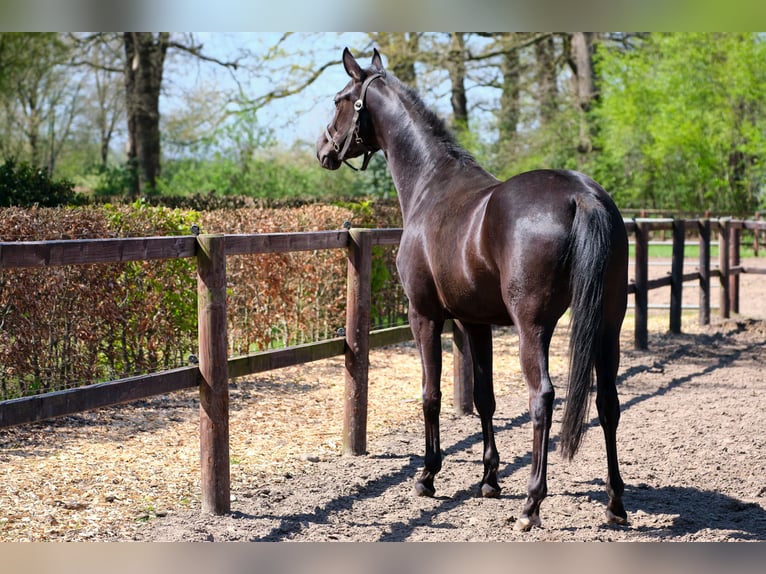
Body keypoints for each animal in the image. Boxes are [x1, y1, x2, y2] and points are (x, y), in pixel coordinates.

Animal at [318, 48, 632, 532]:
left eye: (340, 99)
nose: (324, 150)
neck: (431, 186)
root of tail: (581, 196)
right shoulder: (475, 322)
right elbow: (484, 398)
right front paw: (489, 480)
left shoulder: (425, 316)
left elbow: (430, 395)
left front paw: (427, 476)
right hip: (607, 323)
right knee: (608, 403)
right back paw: (615, 504)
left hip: (532, 327)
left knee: (543, 398)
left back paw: (531, 505)